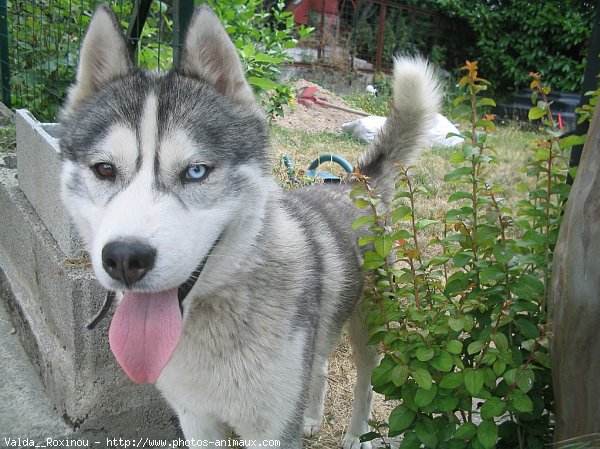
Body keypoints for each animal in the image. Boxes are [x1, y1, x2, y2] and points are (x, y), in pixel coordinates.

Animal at [57, 4, 440, 448]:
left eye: (196, 171)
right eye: (104, 169)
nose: (124, 258)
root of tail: (356, 183)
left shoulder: (271, 430)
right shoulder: (196, 419)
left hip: (372, 324)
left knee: (366, 381)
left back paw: (357, 435)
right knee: (320, 362)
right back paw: (312, 416)